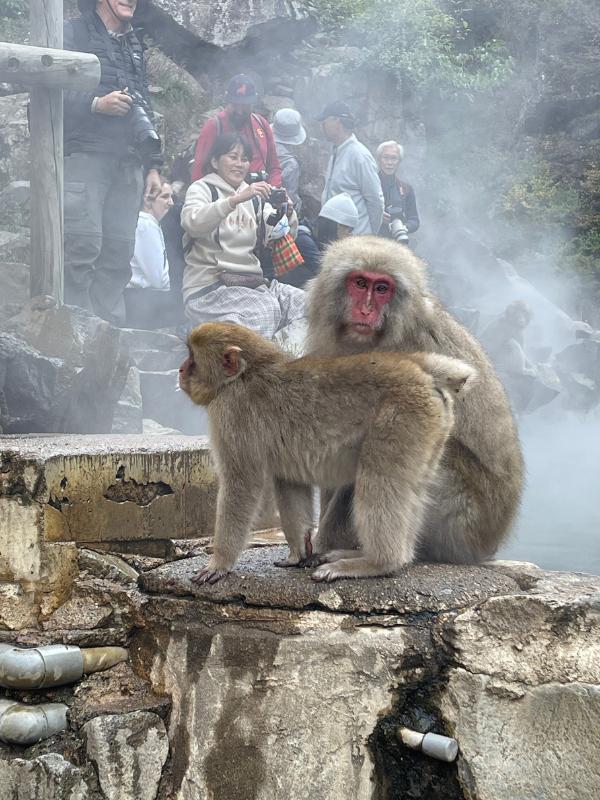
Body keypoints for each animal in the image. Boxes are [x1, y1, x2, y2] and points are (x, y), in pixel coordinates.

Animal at [178, 321, 475, 583]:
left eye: (192, 357)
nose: (180, 370)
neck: (243, 375)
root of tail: (421, 372)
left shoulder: (231, 414)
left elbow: (240, 484)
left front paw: (220, 562)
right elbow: (290, 483)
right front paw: (297, 552)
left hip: (402, 417)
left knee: (380, 481)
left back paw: (377, 562)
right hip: (431, 429)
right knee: (410, 489)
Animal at [304, 235, 524, 569]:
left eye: (382, 288)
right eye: (360, 282)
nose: (366, 309)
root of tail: (488, 546)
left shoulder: (405, 349)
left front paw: (325, 541)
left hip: (460, 517)